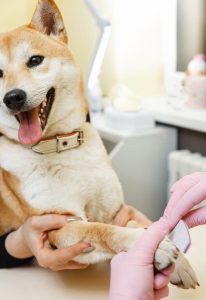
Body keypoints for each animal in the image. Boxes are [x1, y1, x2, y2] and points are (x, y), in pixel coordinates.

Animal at [0, 0, 198, 290]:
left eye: (35, 60)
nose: (12, 98)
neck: (61, 148)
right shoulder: (57, 227)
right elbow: (102, 230)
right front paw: (151, 247)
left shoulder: (113, 210)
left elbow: (134, 223)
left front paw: (178, 260)